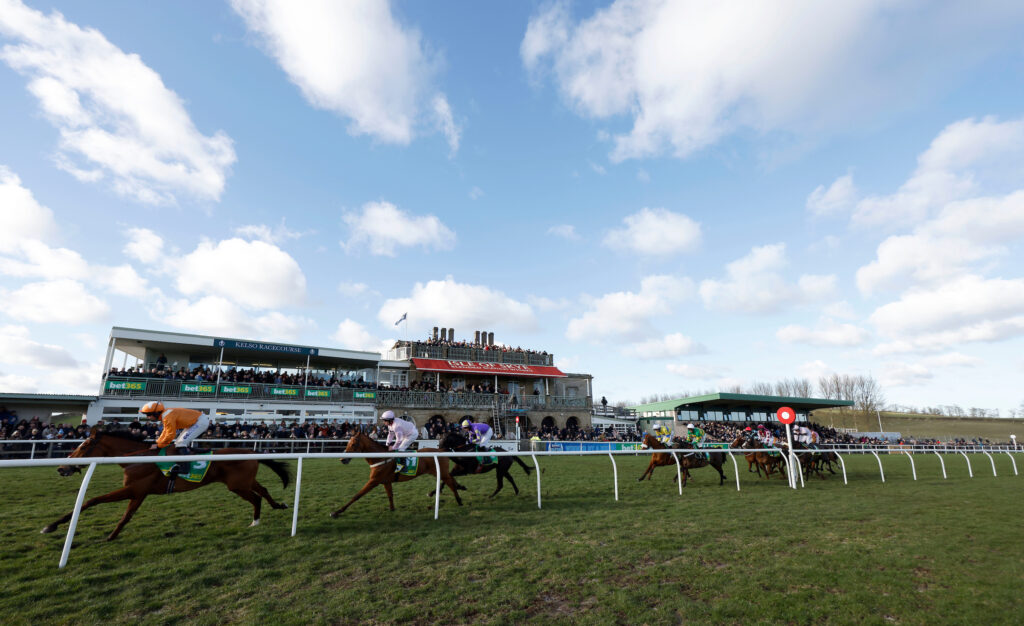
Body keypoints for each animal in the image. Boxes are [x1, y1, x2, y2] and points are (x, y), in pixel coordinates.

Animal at [41, 430, 290, 536]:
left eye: (84, 446)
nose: (61, 468)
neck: (138, 458)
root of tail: (252, 451)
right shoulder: (139, 493)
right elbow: (125, 515)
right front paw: (112, 535)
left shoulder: (134, 490)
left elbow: (92, 501)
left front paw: (51, 526)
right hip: (244, 481)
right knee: (263, 490)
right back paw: (277, 507)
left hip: (237, 485)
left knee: (257, 497)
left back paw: (256, 520)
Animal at [331, 434, 464, 516]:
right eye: (347, 443)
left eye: (353, 444)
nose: (342, 459)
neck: (380, 458)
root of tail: (441, 450)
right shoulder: (386, 481)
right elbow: (390, 495)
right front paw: (392, 509)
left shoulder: (374, 481)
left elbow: (357, 495)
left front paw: (337, 512)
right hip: (440, 472)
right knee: (451, 478)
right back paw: (460, 487)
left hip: (440, 472)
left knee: (451, 484)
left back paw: (459, 500)